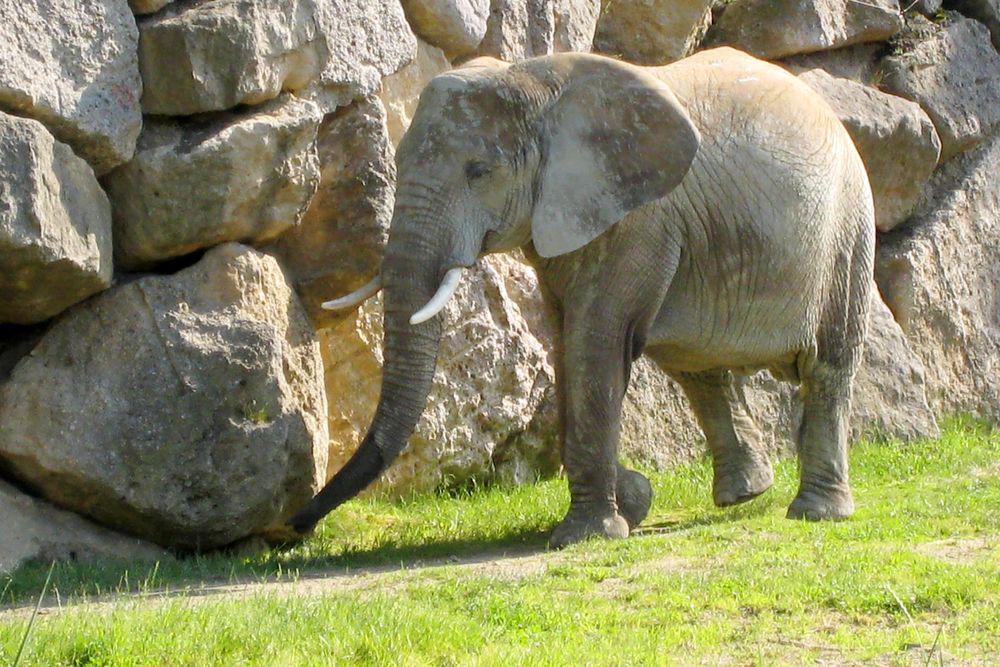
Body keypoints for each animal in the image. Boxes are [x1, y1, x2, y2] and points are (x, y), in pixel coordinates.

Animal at [290, 45, 876, 548]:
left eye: (479, 172)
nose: (295, 527)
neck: (533, 80)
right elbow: (567, 345)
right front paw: (633, 502)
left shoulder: (637, 220)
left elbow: (593, 343)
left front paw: (587, 534)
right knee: (698, 368)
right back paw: (744, 494)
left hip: (847, 228)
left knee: (827, 364)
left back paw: (816, 512)